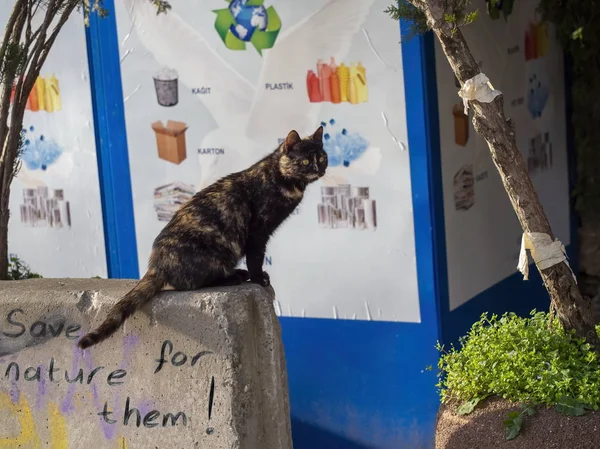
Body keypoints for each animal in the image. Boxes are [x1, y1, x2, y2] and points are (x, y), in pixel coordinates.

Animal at [78, 126, 328, 350]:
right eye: (305, 161)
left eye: (322, 157)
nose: (319, 168)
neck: (282, 178)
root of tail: (156, 265)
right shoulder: (258, 231)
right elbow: (256, 257)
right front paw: (259, 279)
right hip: (215, 251)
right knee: (193, 282)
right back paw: (235, 276)